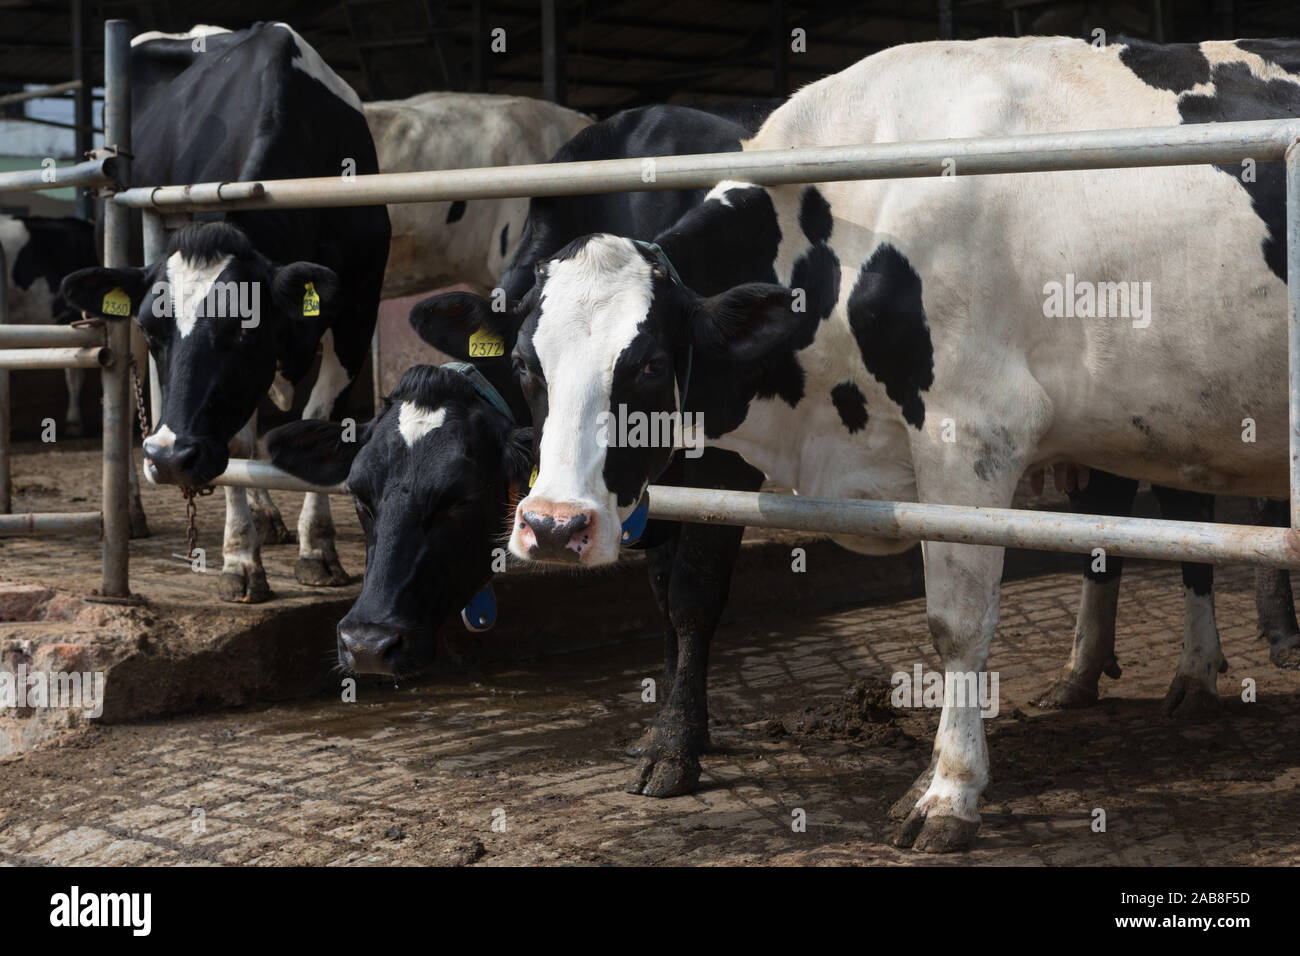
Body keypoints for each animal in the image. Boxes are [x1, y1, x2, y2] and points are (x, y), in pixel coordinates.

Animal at [60, 22, 390, 603]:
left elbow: (319, 421)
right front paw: (240, 560)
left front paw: (317, 548)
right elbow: (235, 440)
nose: (169, 458)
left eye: (243, 331)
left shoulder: (358, 306)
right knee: (124, 388)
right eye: (153, 328)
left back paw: (268, 514)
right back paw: (133, 513)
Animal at [412, 36, 1300, 851]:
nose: (553, 527)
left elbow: (956, 623)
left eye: (653, 363)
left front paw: (949, 794)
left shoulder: (973, 432)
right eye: (527, 366)